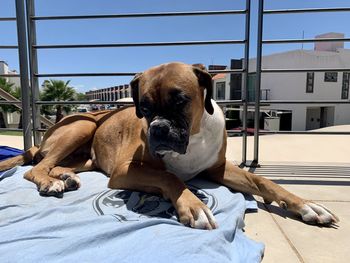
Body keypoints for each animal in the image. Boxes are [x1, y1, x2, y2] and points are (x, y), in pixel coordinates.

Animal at [0, 63, 340, 230]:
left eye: (181, 101)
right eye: (144, 107)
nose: (159, 129)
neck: (194, 136)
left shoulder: (219, 169)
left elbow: (263, 181)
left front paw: (305, 205)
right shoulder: (124, 171)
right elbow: (169, 176)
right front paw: (193, 205)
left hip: (84, 155)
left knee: (54, 164)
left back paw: (65, 177)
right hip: (83, 126)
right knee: (35, 168)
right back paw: (50, 182)